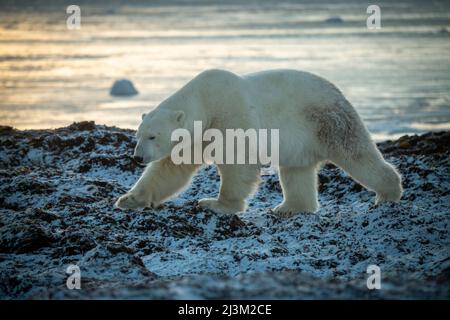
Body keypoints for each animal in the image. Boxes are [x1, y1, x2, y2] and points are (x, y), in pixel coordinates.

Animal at [115, 69, 400, 216]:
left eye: (153, 136)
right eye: (138, 135)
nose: (137, 158)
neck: (205, 101)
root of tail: (338, 91)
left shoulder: (229, 116)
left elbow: (238, 161)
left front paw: (216, 204)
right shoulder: (197, 136)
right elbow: (169, 169)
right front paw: (129, 199)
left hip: (328, 121)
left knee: (357, 155)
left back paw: (389, 193)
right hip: (303, 140)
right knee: (296, 172)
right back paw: (289, 208)